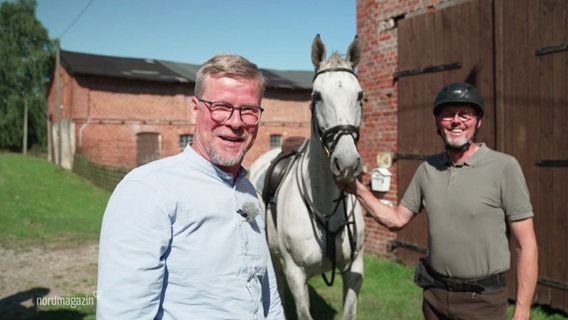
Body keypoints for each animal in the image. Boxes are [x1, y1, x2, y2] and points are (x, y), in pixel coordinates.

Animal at [251, 35, 366, 320]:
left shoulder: (355, 271)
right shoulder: (296, 273)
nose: (347, 162)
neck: (326, 204)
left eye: (360, 95)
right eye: (317, 95)